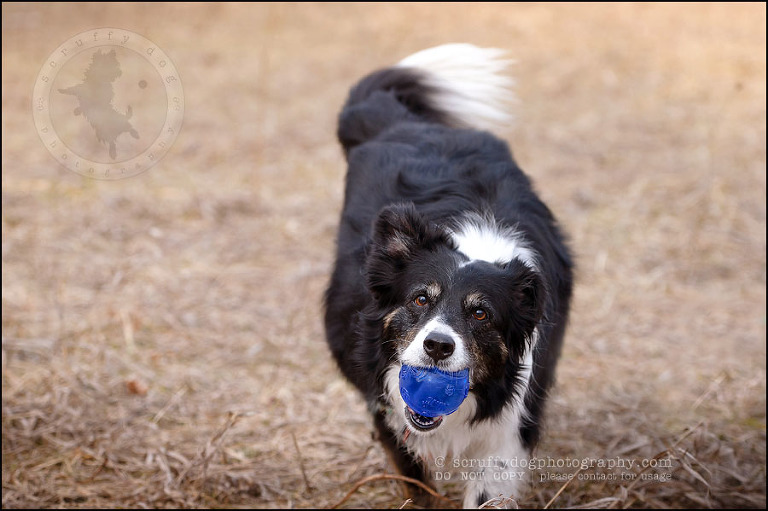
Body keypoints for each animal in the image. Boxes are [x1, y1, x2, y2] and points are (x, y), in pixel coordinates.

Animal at [322, 44, 568, 508]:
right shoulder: (387, 405)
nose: (437, 346)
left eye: (481, 314)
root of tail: (404, 122)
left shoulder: (510, 428)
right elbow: (417, 483)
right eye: (420, 298)